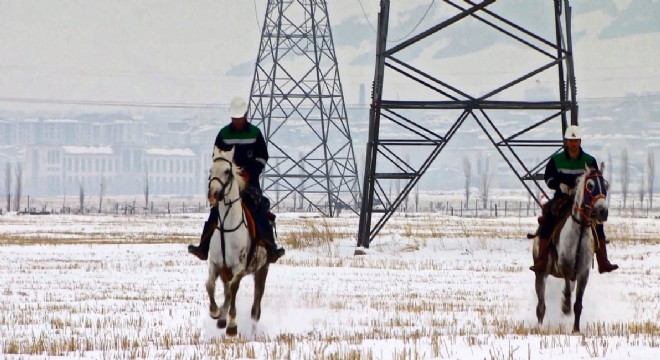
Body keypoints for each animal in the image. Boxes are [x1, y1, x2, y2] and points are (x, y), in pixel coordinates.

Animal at [205, 145, 270, 336]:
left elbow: (234, 289)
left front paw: (232, 325)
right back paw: (221, 318)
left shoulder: (239, 267)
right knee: (226, 292)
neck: (228, 225)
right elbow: (210, 285)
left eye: (227, 171)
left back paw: (252, 331)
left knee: (255, 307)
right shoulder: (216, 264)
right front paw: (215, 312)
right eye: (210, 170)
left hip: (262, 271)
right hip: (226, 272)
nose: (213, 194)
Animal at [532, 165, 608, 334]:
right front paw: (565, 306)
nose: (603, 212)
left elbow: (578, 304)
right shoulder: (564, 266)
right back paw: (539, 327)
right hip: (541, 273)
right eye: (590, 185)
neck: (579, 231)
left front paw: (576, 330)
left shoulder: (583, 273)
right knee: (541, 305)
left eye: (606, 185)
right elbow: (566, 291)